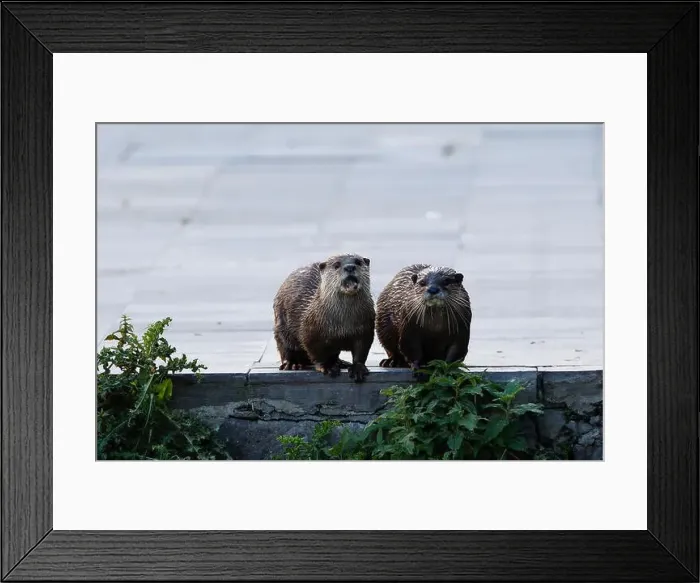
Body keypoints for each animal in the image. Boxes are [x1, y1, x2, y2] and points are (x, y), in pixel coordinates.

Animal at [272, 253, 376, 383]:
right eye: (336, 265)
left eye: (358, 262)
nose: (350, 267)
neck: (343, 325)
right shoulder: (310, 331)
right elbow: (316, 352)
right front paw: (327, 367)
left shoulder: (365, 328)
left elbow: (361, 350)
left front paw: (358, 368)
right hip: (281, 324)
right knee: (285, 346)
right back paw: (292, 364)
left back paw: (340, 363)